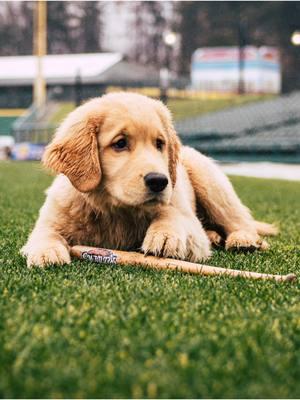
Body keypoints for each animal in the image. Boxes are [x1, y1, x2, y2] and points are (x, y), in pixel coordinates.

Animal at [20, 92, 276, 268]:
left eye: (159, 144)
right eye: (120, 143)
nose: (159, 181)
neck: (116, 210)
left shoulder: (184, 213)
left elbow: (173, 214)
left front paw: (166, 235)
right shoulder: (52, 218)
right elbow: (44, 234)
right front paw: (47, 252)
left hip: (210, 182)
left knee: (238, 219)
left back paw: (243, 239)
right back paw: (216, 236)